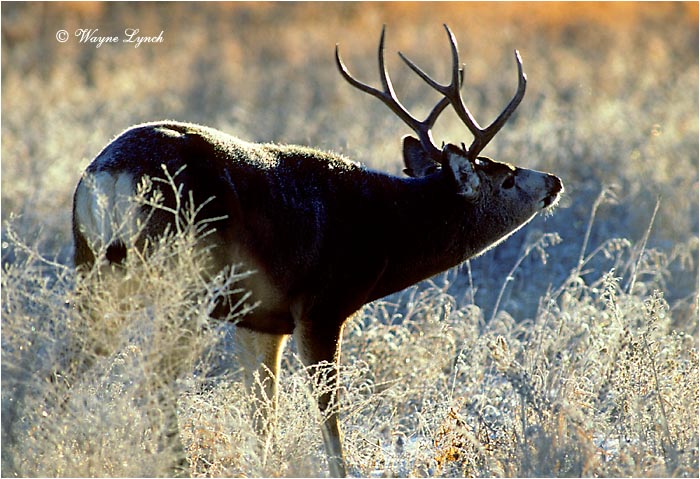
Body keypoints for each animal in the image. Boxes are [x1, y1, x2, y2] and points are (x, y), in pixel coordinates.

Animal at [71, 24, 562, 477]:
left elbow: (262, 417)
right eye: (506, 179)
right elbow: (328, 413)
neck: (385, 228)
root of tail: (109, 174)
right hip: (181, 280)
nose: (554, 181)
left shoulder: (259, 319)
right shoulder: (320, 306)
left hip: (92, 267)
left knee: (68, 364)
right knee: (153, 381)